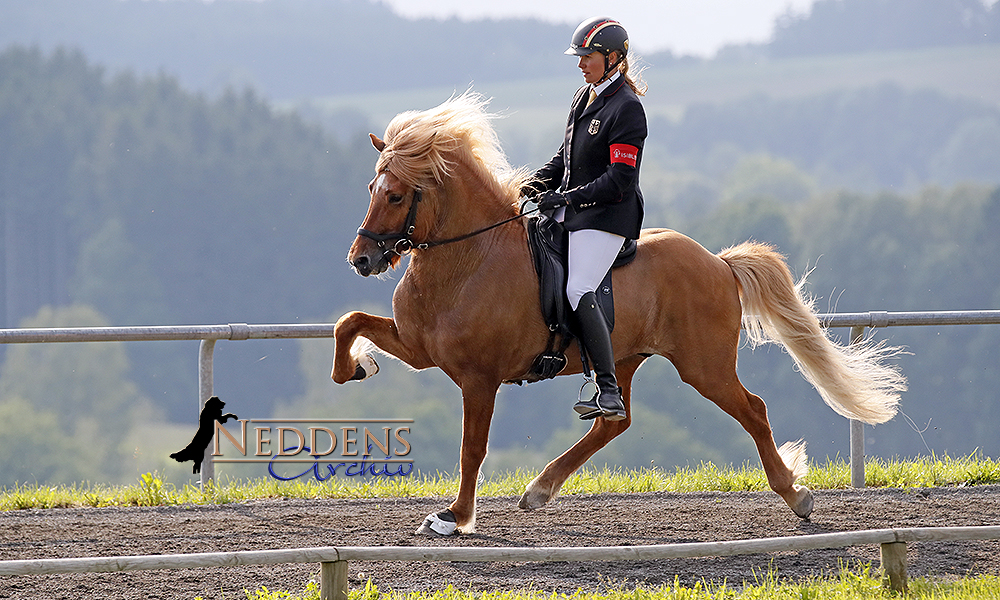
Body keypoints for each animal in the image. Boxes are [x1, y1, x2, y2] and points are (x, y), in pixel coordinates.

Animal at [330, 92, 908, 536]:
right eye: (371, 190)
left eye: (396, 195)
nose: (361, 260)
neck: (470, 257)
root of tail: (718, 263)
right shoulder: (421, 348)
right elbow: (348, 323)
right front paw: (357, 366)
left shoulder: (478, 377)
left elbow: (472, 448)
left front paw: (454, 517)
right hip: (624, 358)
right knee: (616, 420)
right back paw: (539, 489)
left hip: (704, 366)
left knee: (753, 410)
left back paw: (796, 495)